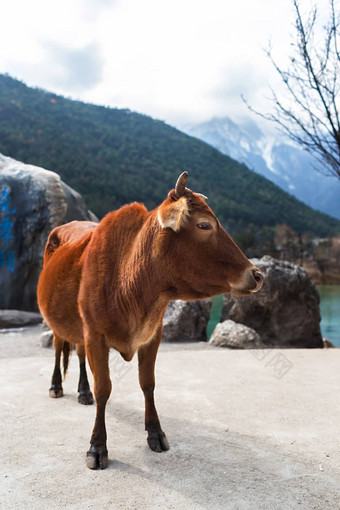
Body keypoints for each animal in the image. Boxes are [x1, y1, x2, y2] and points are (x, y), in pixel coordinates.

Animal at [38, 172, 264, 470]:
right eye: (204, 225)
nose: (257, 275)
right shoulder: (95, 334)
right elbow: (104, 389)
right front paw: (97, 446)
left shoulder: (153, 335)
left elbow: (148, 384)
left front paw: (155, 432)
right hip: (58, 324)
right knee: (58, 349)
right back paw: (56, 386)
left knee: (78, 353)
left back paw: (82, 392)